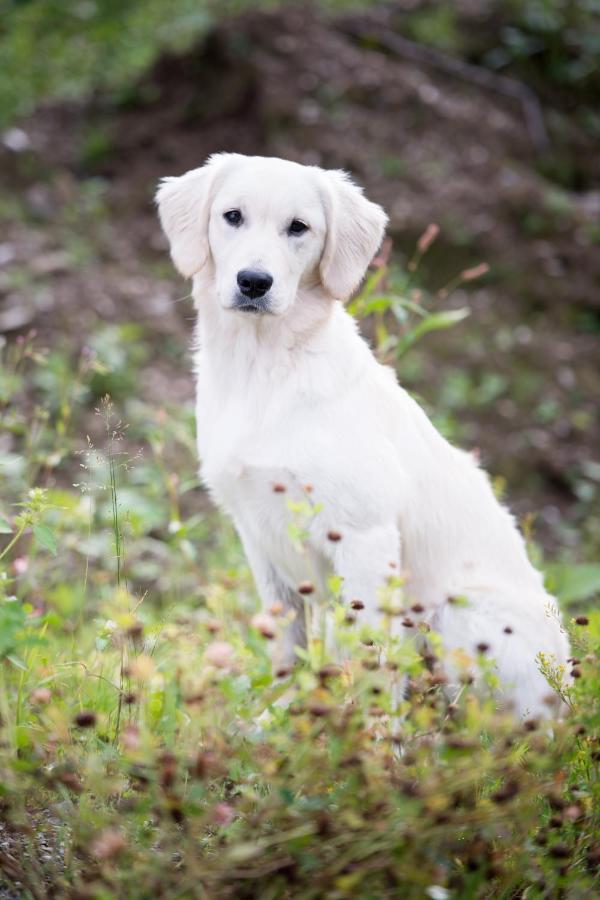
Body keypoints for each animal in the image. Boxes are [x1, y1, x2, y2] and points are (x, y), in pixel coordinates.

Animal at [157, 155, 568, 716]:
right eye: (232, 216)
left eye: (299, 227)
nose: (254, 282)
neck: (265, 369)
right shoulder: (257, 535)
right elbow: (286, 644)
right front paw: (280, 717)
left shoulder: (363, 536)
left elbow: (374, 659)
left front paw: (368, 733)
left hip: (462, 614)